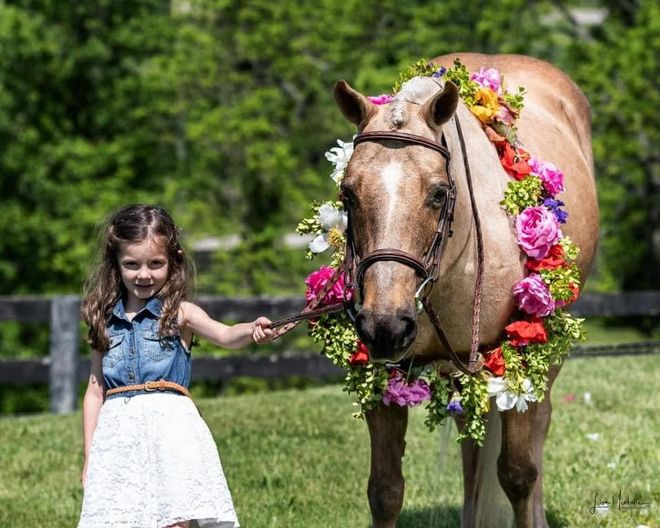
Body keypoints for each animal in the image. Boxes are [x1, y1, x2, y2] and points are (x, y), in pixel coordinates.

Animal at [332, 51, 600, 524]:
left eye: (439, 194)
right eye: (348, 194)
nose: (386, 326)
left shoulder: (520, 357)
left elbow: (517, 475)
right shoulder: (380, 373)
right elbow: (385, 491)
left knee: (538, 427)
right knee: (472, 451)